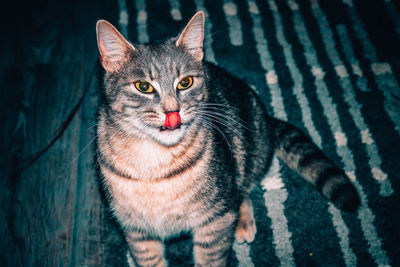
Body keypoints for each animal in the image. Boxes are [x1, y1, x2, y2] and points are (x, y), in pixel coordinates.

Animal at [94, 12, 360, 267]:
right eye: (143, 86)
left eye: (185, 82)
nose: (173, 111)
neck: (155, 164)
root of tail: (267, 116)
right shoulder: (137, 231)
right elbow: (149, 259)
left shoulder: (215, 219)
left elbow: (211, 258)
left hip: (245, 163)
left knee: (241, 192)